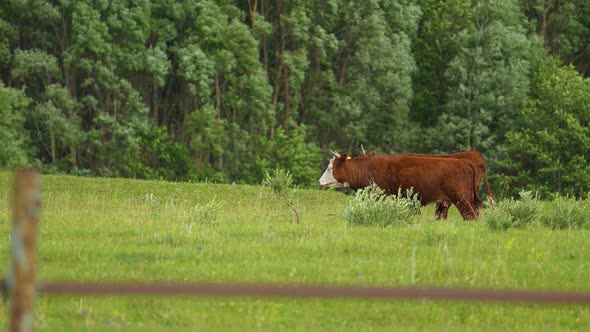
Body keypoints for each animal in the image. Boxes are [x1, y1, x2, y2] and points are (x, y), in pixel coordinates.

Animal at [322, 151, 484, 220]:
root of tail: (464, 162)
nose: (320, 181)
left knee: (472, 216)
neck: (367, 168)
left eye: (330, 168)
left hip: (462, 199)